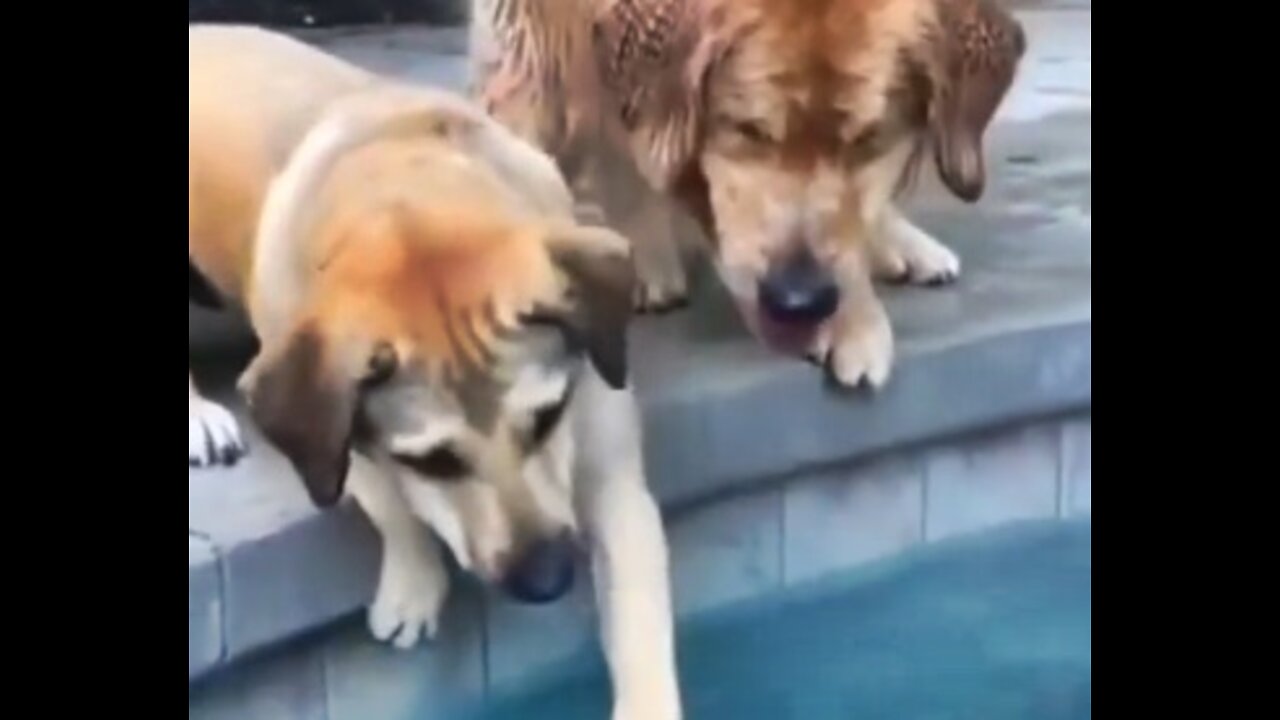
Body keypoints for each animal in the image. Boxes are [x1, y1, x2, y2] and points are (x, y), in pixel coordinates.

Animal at [188, 26, 680, 717]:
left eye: (547, 417)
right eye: (432, 461)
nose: (548, 578)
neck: (404, 198)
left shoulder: (611, 471)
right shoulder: (323, 411)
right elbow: (381, 492)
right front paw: (413, 580)